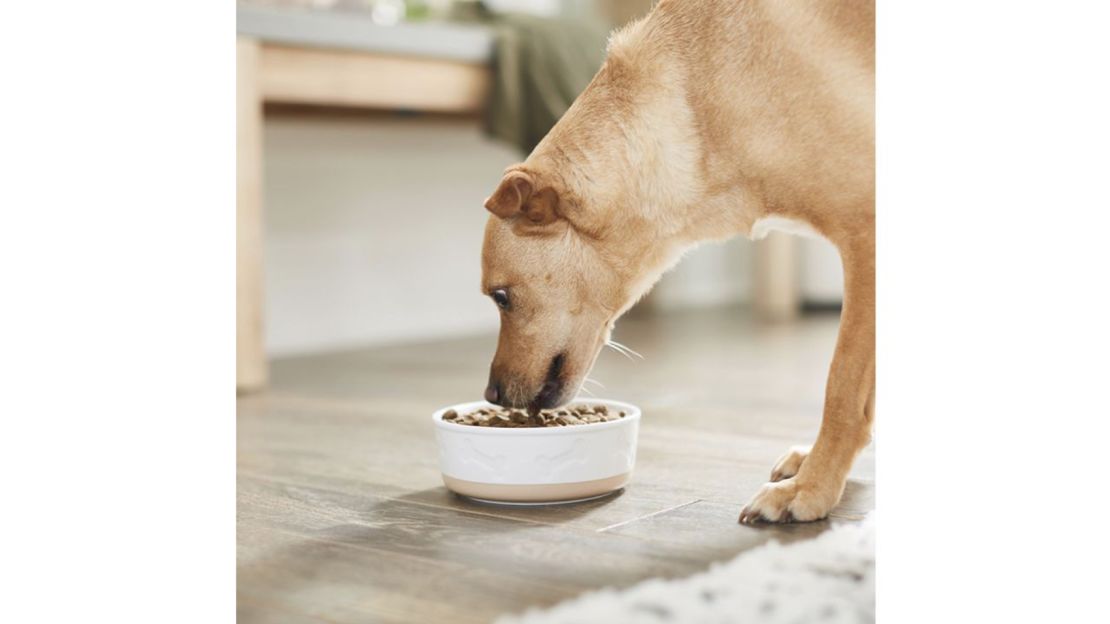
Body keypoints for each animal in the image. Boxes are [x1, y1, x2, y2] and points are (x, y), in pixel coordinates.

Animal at [477, 0, 874, 521]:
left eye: (501, 297)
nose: (491, 395)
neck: (697, 101)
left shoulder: (866, 242)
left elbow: (843, 388)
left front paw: (812, 486)